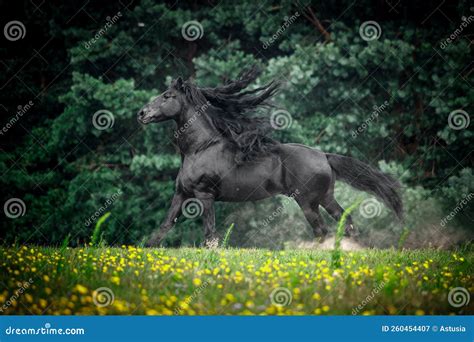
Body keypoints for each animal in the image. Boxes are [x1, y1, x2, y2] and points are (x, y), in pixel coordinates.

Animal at [136, 68, 400, 247]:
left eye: (167, 96)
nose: (141, 113)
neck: (199, 149)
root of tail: (324, 156)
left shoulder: (204, 195)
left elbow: (210, 234)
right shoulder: (181, 194)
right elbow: (163, 228)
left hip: (307, 202)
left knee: (322, 230)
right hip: (325, 198)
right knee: (345, 222)